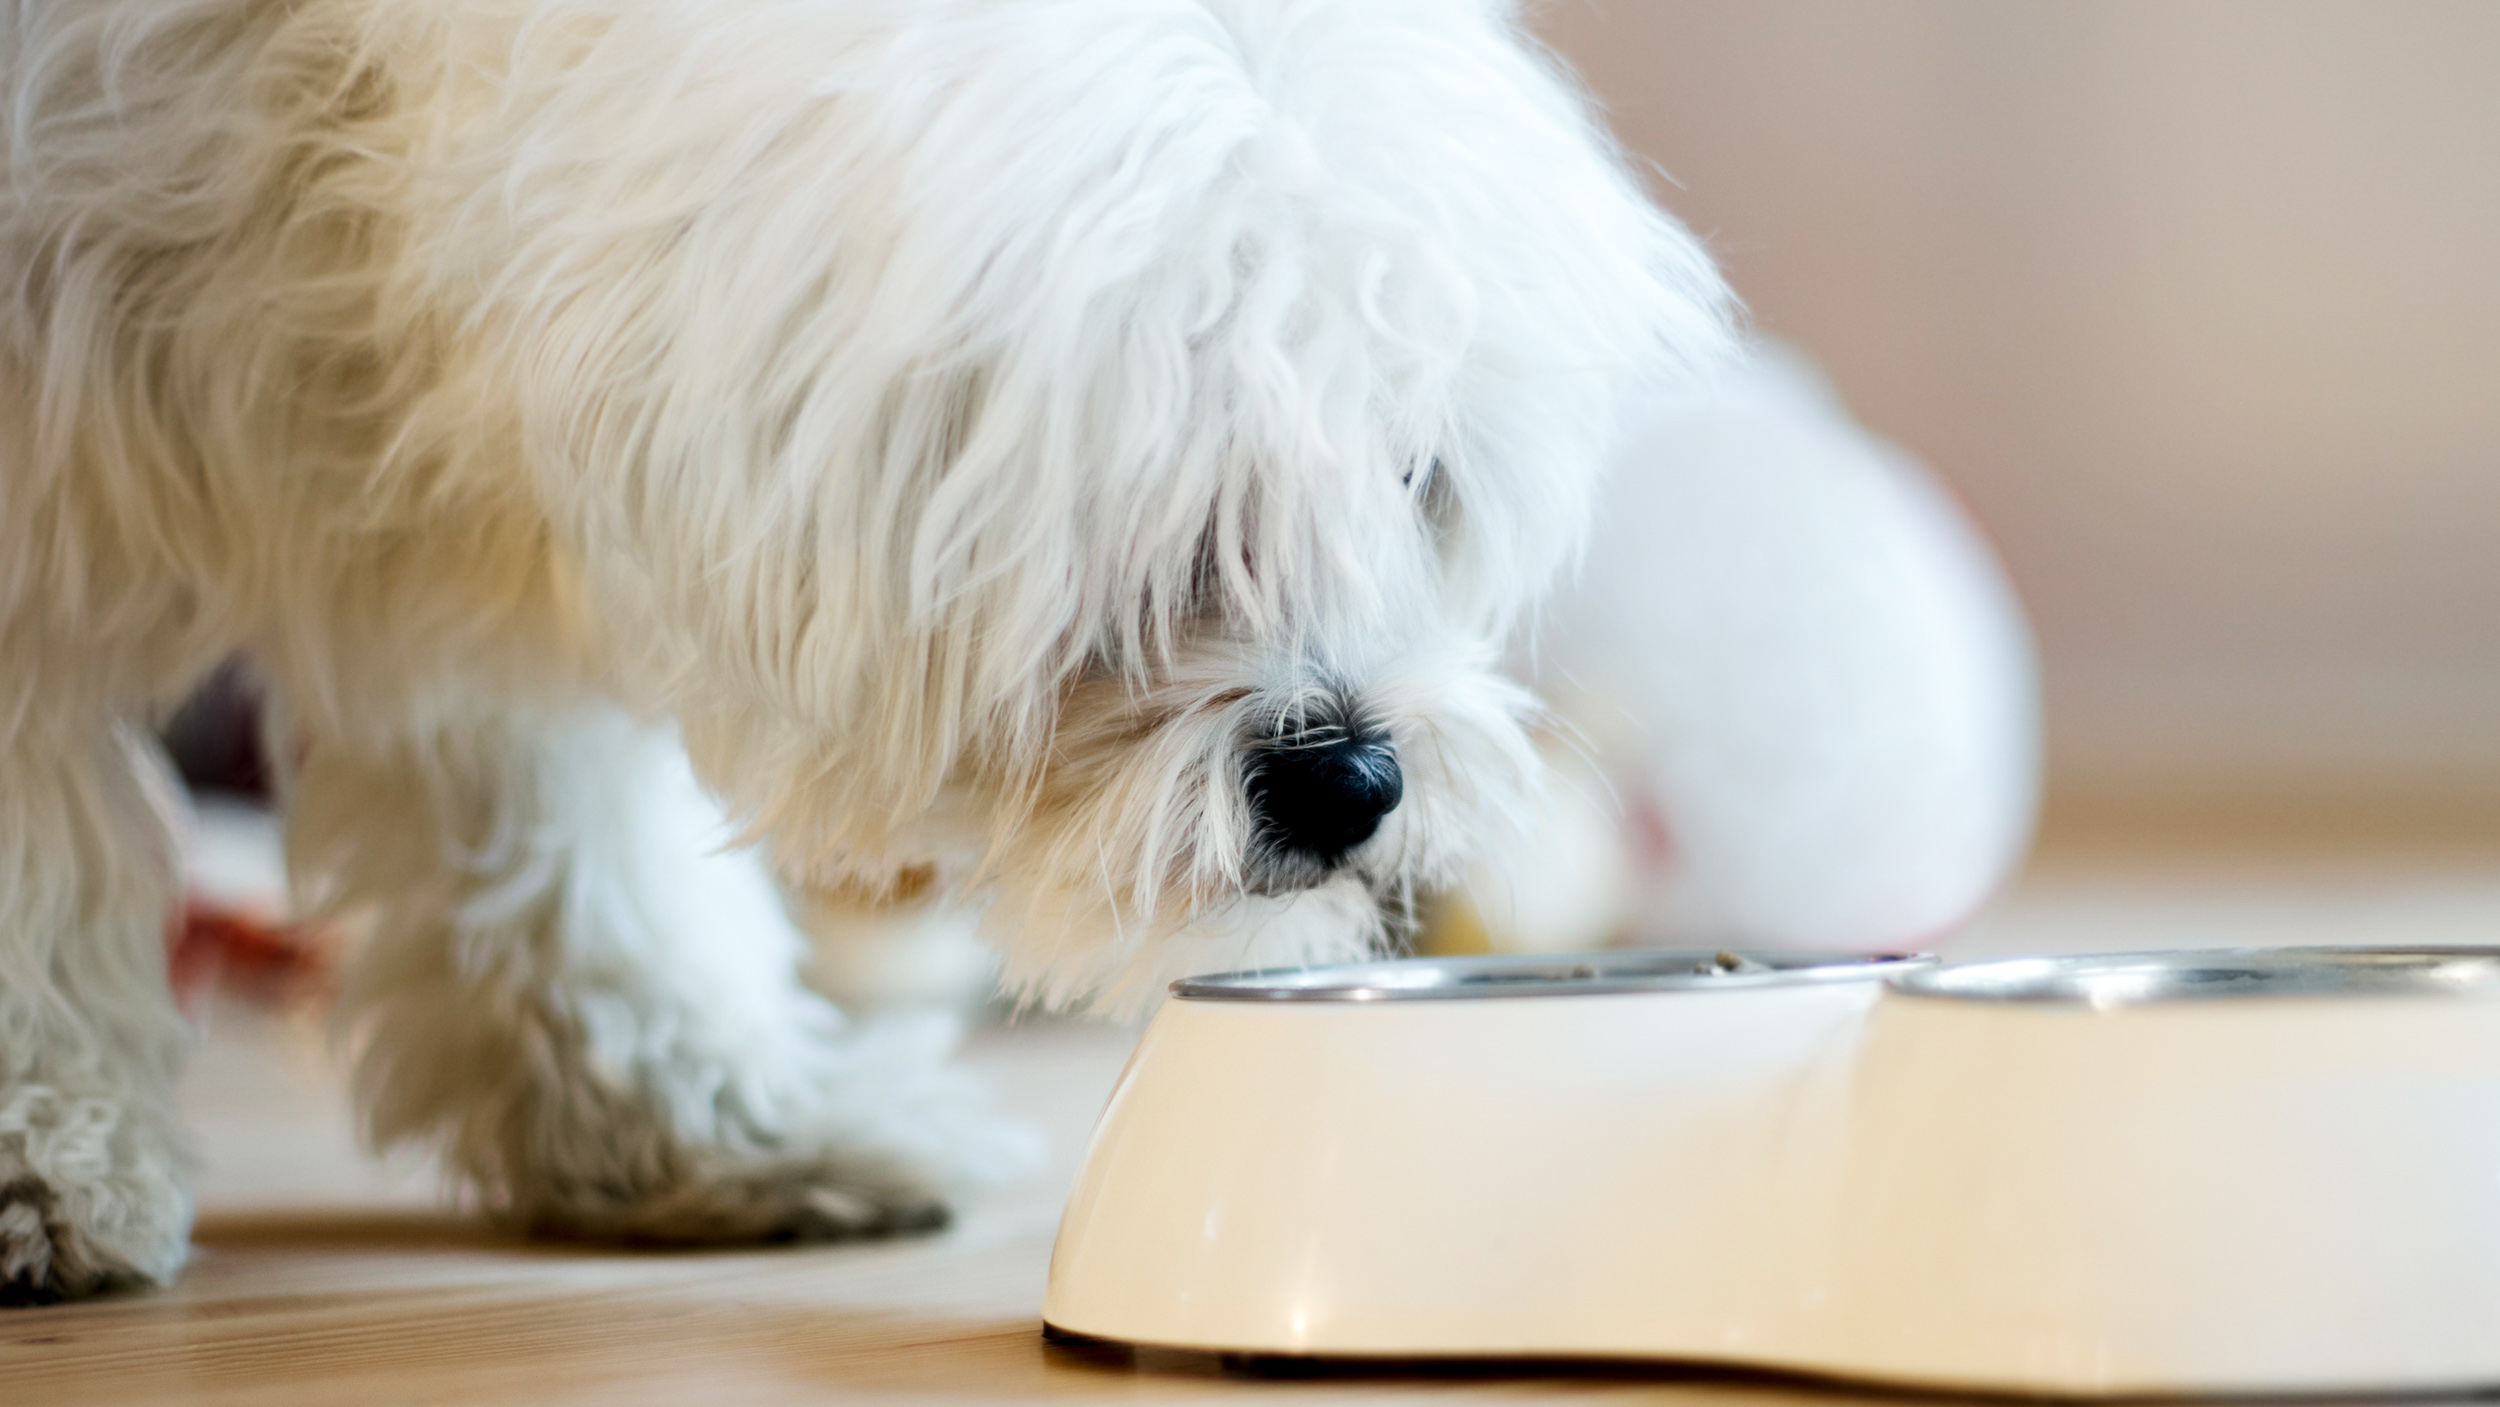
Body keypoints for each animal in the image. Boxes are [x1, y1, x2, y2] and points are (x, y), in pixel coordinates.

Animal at [0, 0, 1730, 1299]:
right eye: (1153, 495)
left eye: (1413, 469)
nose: (1349, 779)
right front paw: (44, 1157)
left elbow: (563, 840)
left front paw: (702, 1117)